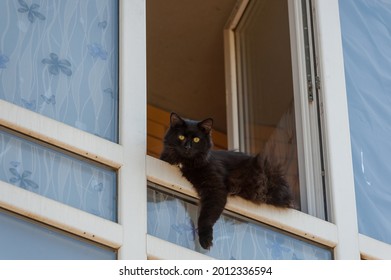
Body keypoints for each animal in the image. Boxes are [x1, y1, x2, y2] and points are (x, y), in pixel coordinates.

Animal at [160, 112, 294, 249]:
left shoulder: (215, 188)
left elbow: (206, 217)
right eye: (181, 137)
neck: (185, 162)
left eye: (196, 139)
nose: (187, 147)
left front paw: (205, 239)